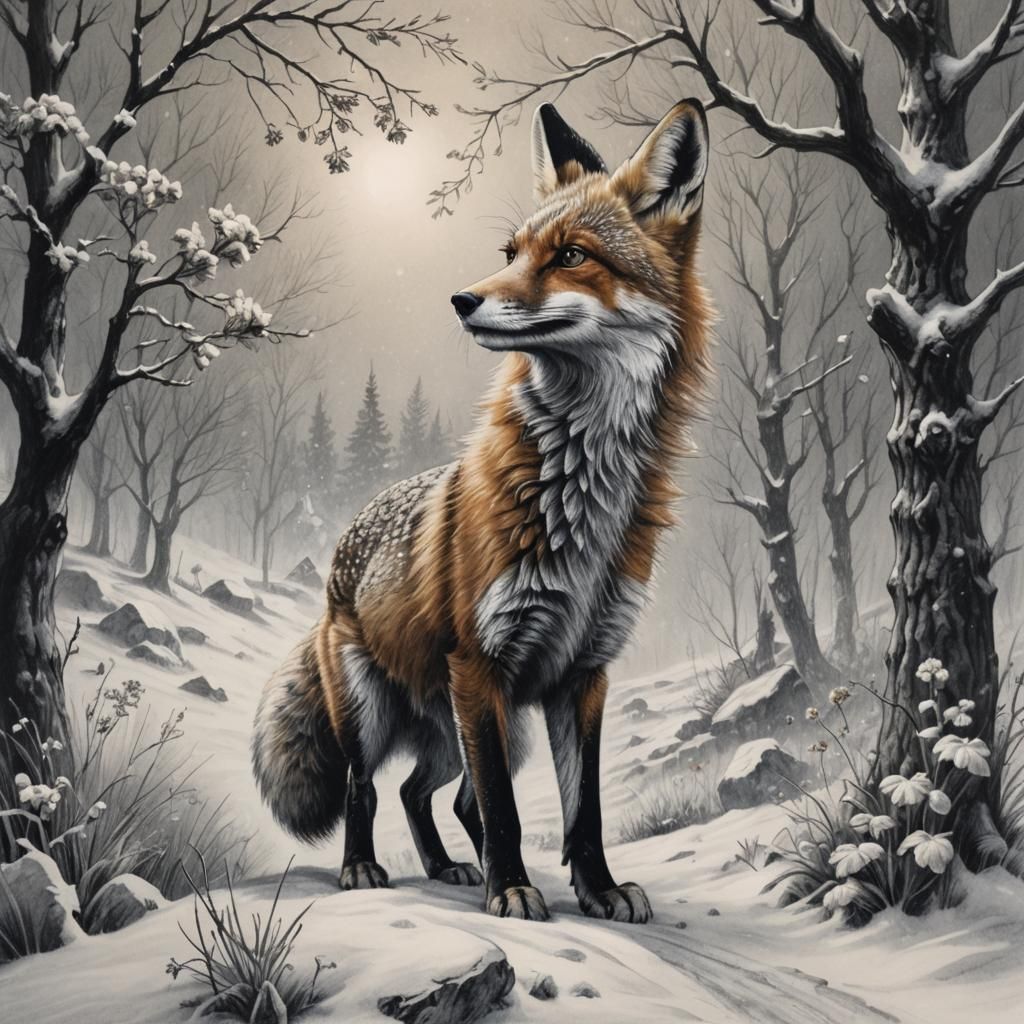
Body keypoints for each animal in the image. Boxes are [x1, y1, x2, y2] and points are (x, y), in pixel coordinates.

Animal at [252, 98, 713, 923]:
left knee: (426, 793)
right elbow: (503, 807)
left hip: (471, 729)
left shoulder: (584, 671)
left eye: (572, 255)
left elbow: (582, 809)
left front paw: (595, 889)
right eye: (511, 250)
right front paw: (514, 891)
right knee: (369, 787)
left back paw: (444, 867)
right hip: (383, 715)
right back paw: (364, 867)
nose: (463, 300)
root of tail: (342, 549)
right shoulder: (481, 661)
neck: (581, 498)